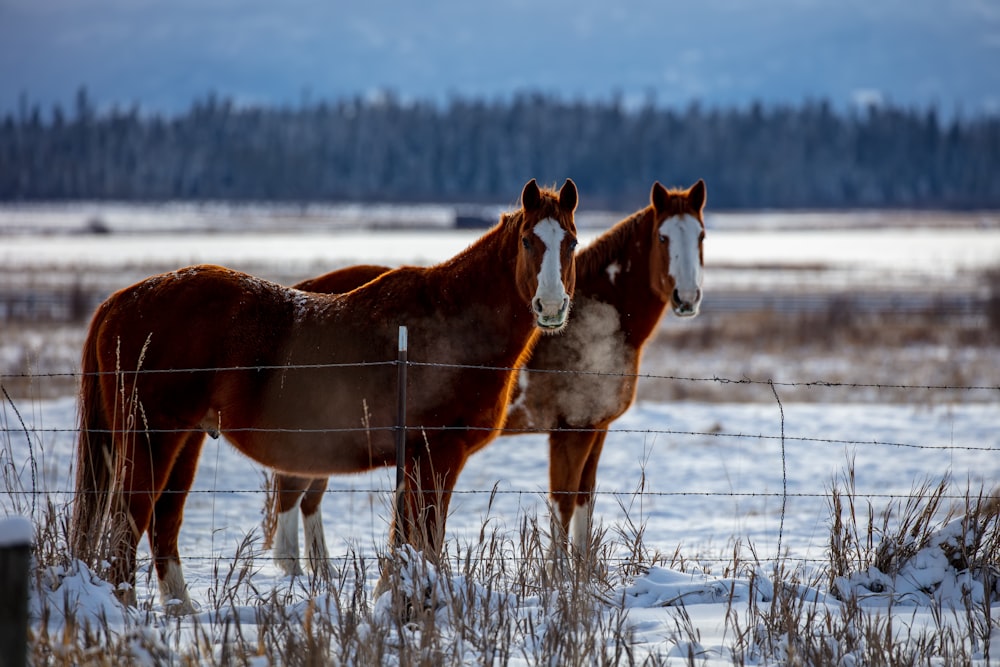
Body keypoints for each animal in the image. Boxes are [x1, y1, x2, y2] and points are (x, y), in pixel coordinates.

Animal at [70, 179, 580, 616]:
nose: (552, 308)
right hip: (151, 437)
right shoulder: (436, 455)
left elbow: (410, 537)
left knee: (164, 523)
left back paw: (181, 611)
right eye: (528, 241)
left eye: (571, 242)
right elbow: (423, 537)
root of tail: (119, 301)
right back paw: (126, 610)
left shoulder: (420, 460)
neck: (450, 323)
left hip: (187, 439)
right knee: (129, 519)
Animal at [264, 179, 704, 576]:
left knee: (308, 499)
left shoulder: (596, 428)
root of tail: (304, 292)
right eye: (663, 237)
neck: (600, 317)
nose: (687, 298)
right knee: (292, 496)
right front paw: (558, 579)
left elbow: (584, 501)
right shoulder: (571, 431)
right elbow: (563, 503)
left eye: (699, 235)